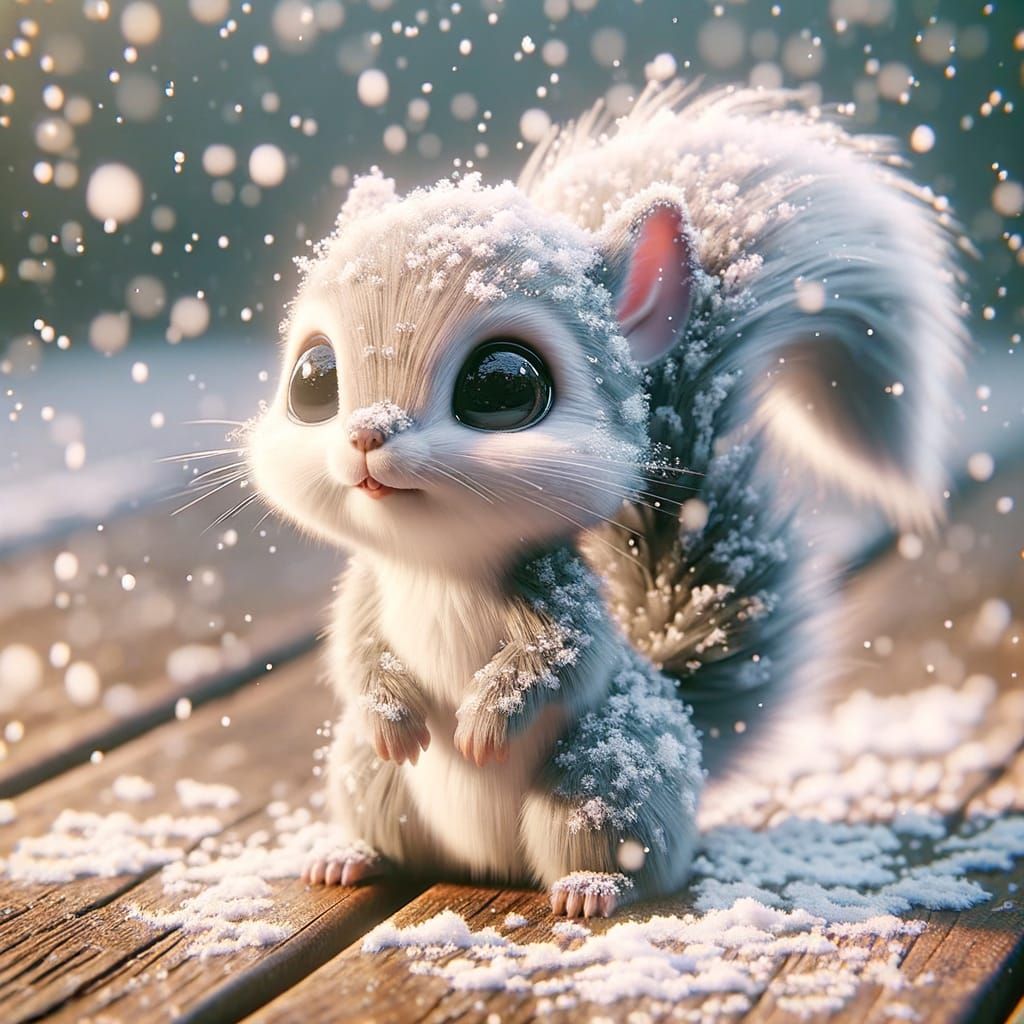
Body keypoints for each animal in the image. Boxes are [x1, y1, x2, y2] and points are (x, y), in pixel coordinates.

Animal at [246, 82, 965, 919]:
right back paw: (349, 855)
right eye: (313, 379)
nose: (366, 435)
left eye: (502, 387)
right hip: (369, 778)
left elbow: (561, 659)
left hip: (606, 772)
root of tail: (482, 869)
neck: (438, 565)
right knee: (385, 813)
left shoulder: (560, 598)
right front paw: (387, 711)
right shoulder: (367, 591)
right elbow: (353, 652)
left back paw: (591, 887)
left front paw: (484, 724)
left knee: (628, 850)